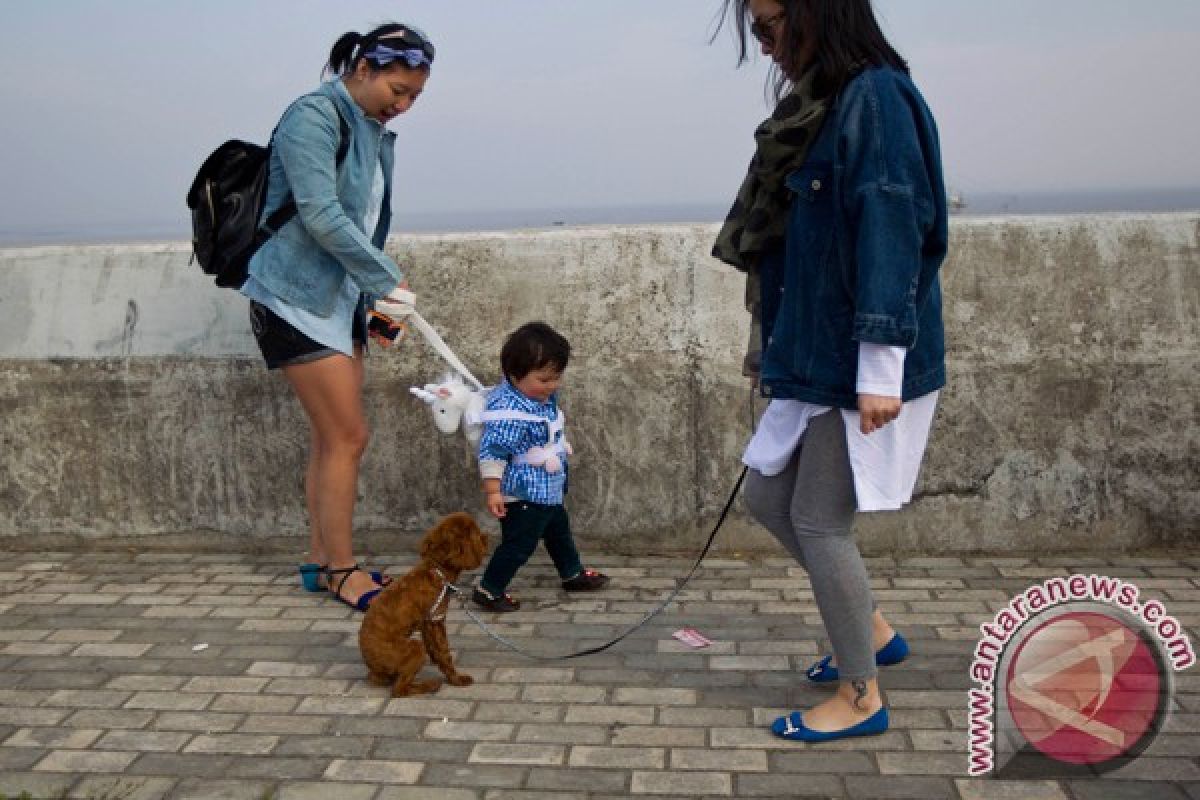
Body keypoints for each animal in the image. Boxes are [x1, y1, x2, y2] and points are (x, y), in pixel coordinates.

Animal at [357, 513, 489, 695]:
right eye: (475, 535)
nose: (487, 538)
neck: (438, 572)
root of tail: (373, 669)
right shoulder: (435, 620)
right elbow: (444, 653)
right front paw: (456, 679)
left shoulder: (428, 625)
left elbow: (435, 650)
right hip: (413, 648)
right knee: (399, 689)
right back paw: (430, 685)